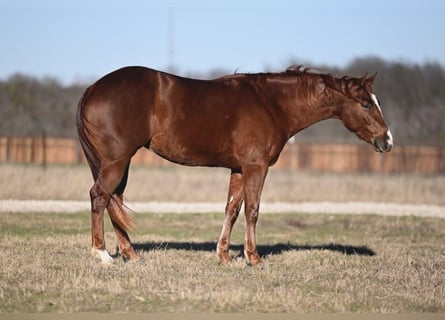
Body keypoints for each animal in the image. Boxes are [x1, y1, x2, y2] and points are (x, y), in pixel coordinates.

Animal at [76, 65, 392, 264]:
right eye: (366, 104)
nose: (386, 141)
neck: (271, 104)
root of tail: (92, 88)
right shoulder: (256, 167)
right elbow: (252, 210)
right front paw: (254, 258)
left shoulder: (239, 169)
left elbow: (232, 209)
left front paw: (224, 255)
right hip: (116, 161)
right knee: (99, 196)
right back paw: (102, 254)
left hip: (119, 163)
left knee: (114, 200)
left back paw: (131, 254)